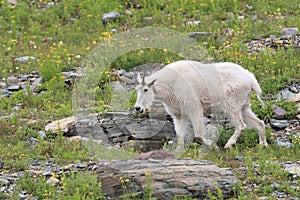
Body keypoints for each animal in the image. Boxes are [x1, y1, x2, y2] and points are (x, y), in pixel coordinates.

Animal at [135, 60, 268, 149]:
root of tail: (251, 80)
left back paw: (228, 144)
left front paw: (213, 146)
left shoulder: (195, 109)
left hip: (231, 106)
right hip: (243, 105)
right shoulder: (179, 114)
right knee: (259, 123)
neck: (170, 84)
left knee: (241, 126)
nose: (138, 108)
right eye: (137, 90)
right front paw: (178, 151)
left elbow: (198, 135)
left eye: (146, 89)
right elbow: (179, 134)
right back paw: (263, 144)